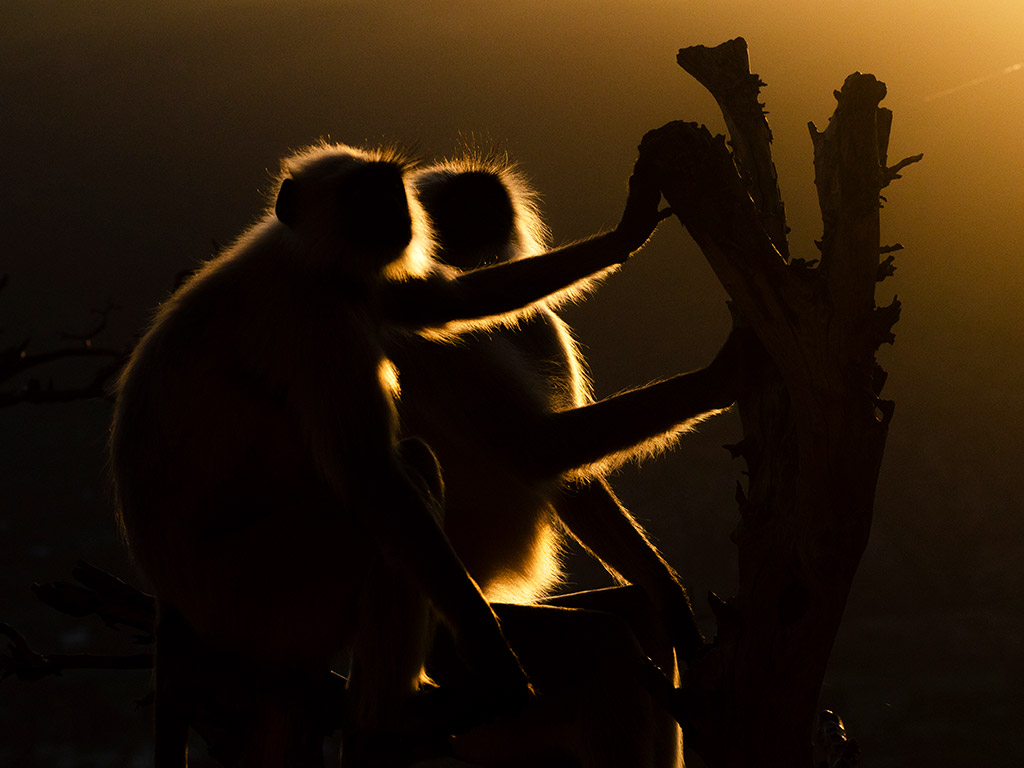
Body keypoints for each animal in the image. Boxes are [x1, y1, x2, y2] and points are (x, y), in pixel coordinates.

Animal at [110, 141, 671, 761]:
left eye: (390, 195)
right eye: (363, 199)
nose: (399, 220)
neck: (302, 260)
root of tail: (172, 598)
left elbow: (441, 300)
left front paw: (628, 228)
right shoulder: (320, 325)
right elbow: (430, 468)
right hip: (263, 590)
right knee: (403, 500)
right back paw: (390, 720)